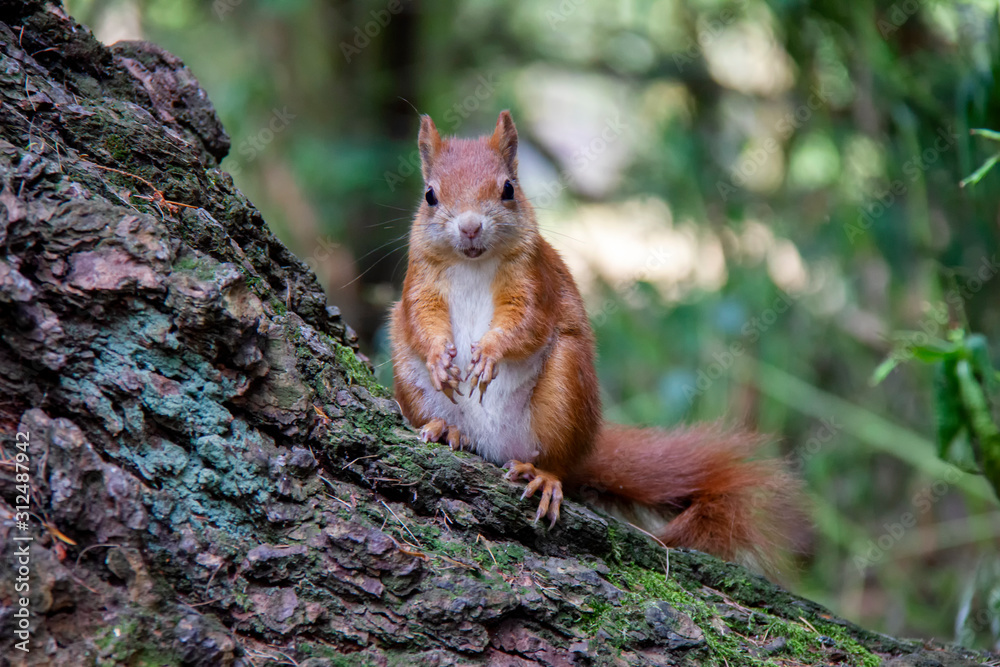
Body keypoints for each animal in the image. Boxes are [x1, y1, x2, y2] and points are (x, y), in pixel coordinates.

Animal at [389, 110, 802, 574]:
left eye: (509, 189)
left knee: (558, 464)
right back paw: (445, 428)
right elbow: (421, 319)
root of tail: (495, 444)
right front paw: (440, 358)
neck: (472, 264)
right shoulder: (419, 279)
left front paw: (490, 354)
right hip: (406, 369)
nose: (471, 226)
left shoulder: (536, 281)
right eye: (430, 195)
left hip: (565, 387)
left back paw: (543, 476)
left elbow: (526, 323)